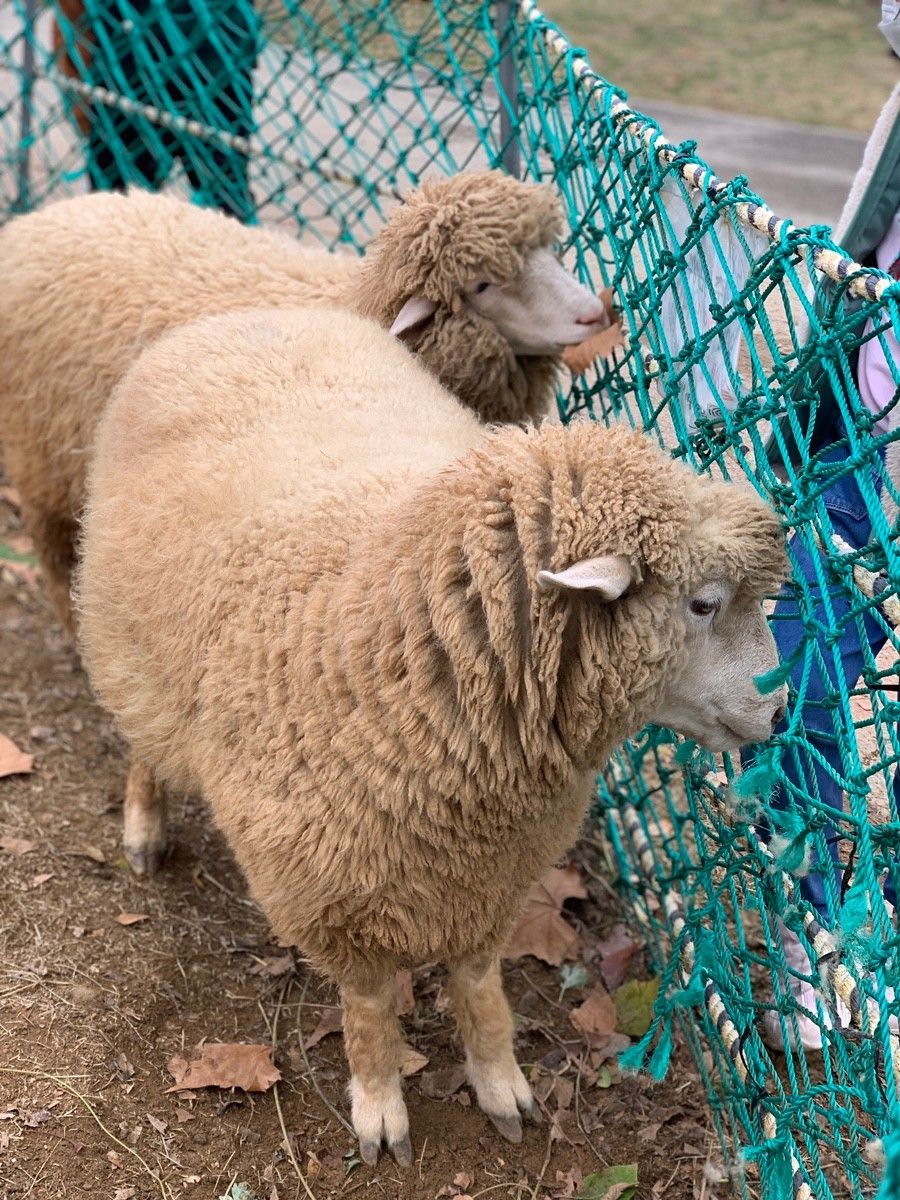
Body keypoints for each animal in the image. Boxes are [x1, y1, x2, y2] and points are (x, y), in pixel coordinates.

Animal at [0, 171, 608, 633]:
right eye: (482, 284)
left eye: (548, 250)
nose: (594, 314)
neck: (354, 300)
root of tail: (39, 219)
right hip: (41, 457)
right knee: (56, 551)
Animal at [76, 302, 789, 1163]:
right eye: (704, 603)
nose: (780, 710)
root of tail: (247, 313)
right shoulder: (326, 893)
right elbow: (369, 1010)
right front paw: (380, 1105)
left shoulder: (495, 877)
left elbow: (480, 989)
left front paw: (499, 1080)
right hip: (128, 646)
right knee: (145, 743)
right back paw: (144, 827)